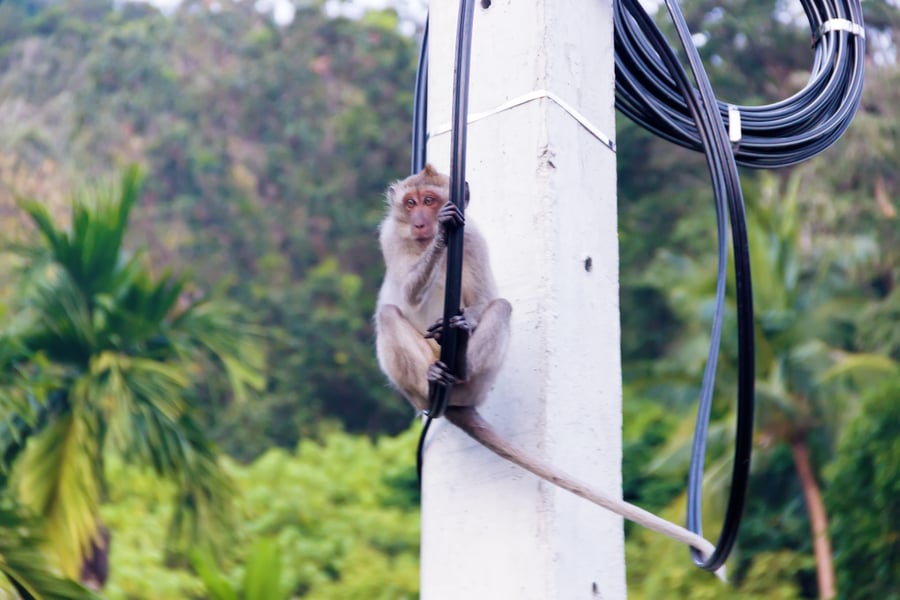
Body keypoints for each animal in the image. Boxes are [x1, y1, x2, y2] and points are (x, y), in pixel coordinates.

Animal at [374, 165, 724, 576]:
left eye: (429, 200)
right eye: (411, 202)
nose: (419, 222)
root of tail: (457, 402)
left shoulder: (473, 238)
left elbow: (485, 299)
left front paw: (464, 312)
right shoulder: (390, 237)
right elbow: (408, 294)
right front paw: (442, 236)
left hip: (480, 384)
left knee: (502, 307)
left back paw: (462, 364)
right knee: (389, 315)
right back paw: (430, 385)